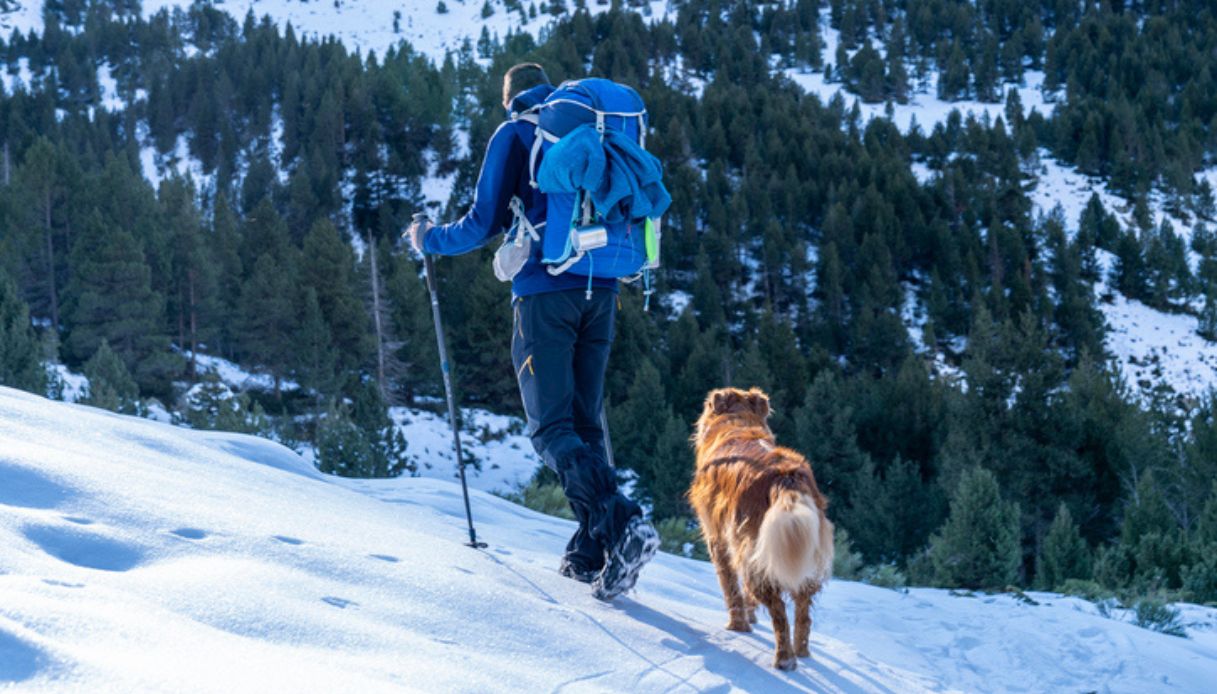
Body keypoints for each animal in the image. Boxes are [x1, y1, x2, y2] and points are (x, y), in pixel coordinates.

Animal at [691, 387, 832, 667]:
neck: (737, 423)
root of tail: (786, 478)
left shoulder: (718, 536)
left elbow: (730, 587)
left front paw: (738, 625)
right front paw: (750, 616)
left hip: (754, 553)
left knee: (779, 612)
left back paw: (784, 660)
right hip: (796, 553)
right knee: (803, 611)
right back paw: (801, 652)